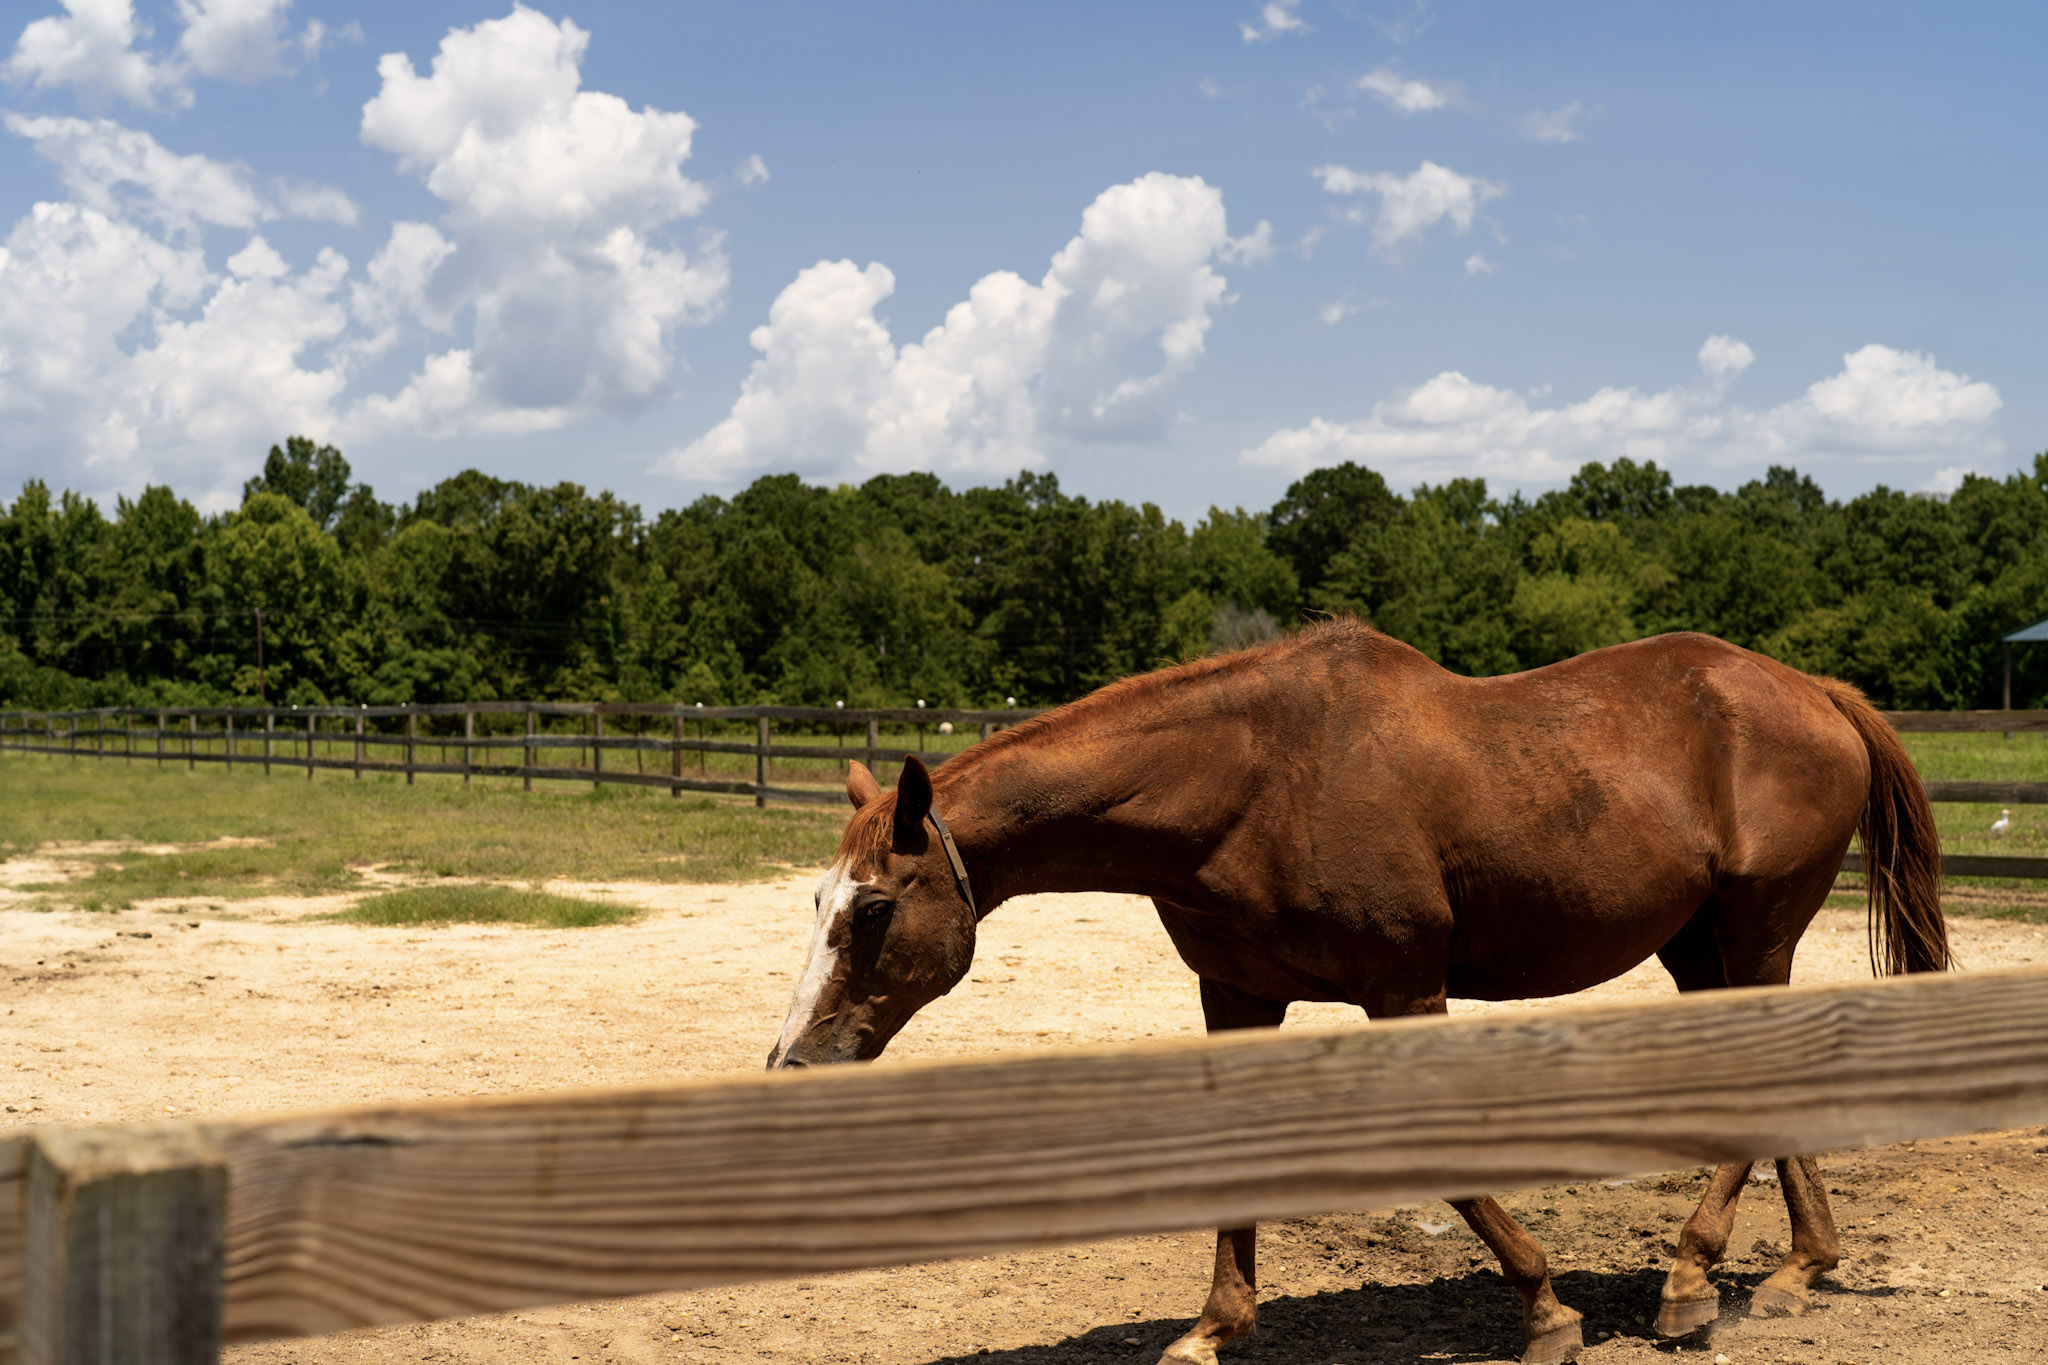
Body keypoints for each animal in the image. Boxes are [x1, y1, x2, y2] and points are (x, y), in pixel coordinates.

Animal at [767, 620, 1947, 1365]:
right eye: (819, 897)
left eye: (872, 910)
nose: (792, 1065)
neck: (1248, 784)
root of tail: (1815, 694)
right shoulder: (1235, 999)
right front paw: (1211, 1329)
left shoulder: (1403, 992)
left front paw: (1544, 1311)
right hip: (1700, 946)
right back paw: (1794, 1270)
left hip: (1755, 929)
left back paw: (1693, 1282)